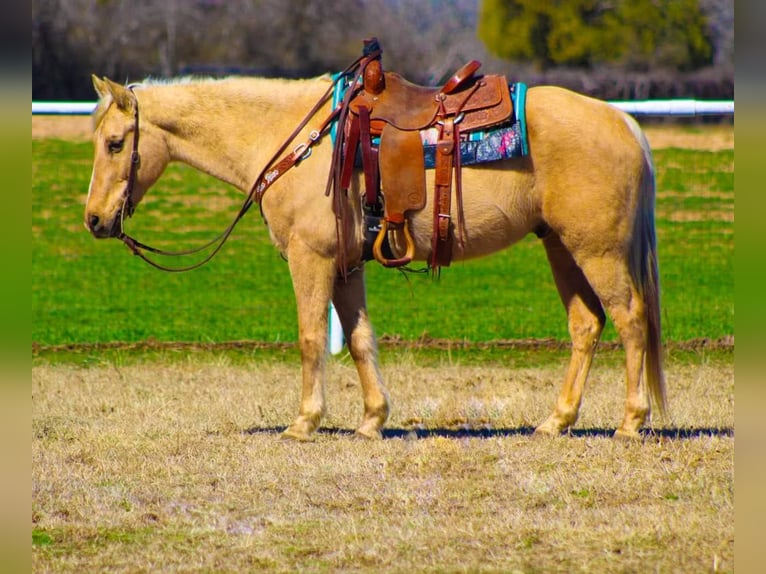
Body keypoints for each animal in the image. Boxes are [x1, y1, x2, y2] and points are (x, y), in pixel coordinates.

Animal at [87, 72, 668, 440]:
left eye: (115, 143)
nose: (94, 220)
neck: (297, 140)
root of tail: (624, 123)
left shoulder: (312, 259)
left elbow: (311, 338)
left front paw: (304, 423)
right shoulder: (345, 266)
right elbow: (361, 339)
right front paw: (372, 420)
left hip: (598, 251)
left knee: (631, 319)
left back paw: (630, 422)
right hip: (561, 248)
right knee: (587, 326)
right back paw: (556, 421)